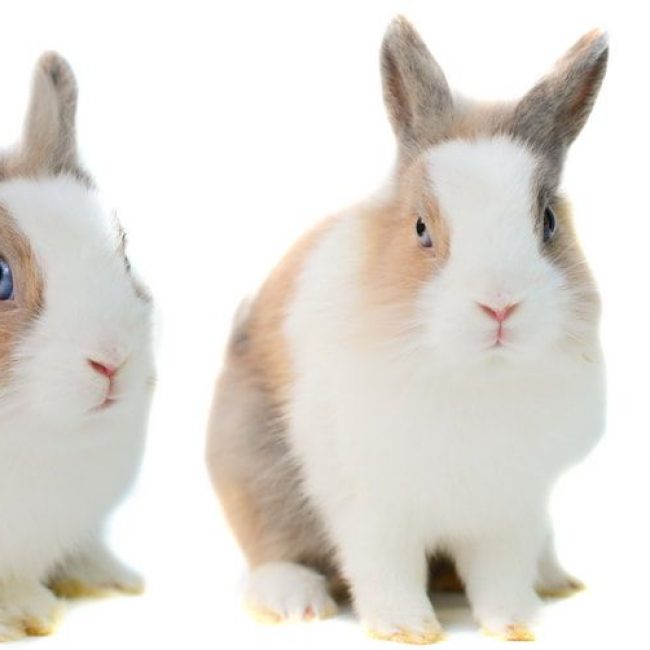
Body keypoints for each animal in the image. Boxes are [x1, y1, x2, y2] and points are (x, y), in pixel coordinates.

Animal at [206, 17, 607, 643]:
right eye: (421, 228)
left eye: (547, 223)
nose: (499, 306)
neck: (474, 377)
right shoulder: (371, 503)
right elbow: (384, 567)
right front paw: (407, 628)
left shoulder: (509, 507)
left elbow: (500, 573)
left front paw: (514, 623)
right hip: (250, 459)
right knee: (273, 546)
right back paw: (296, 601)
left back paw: (553, 580)